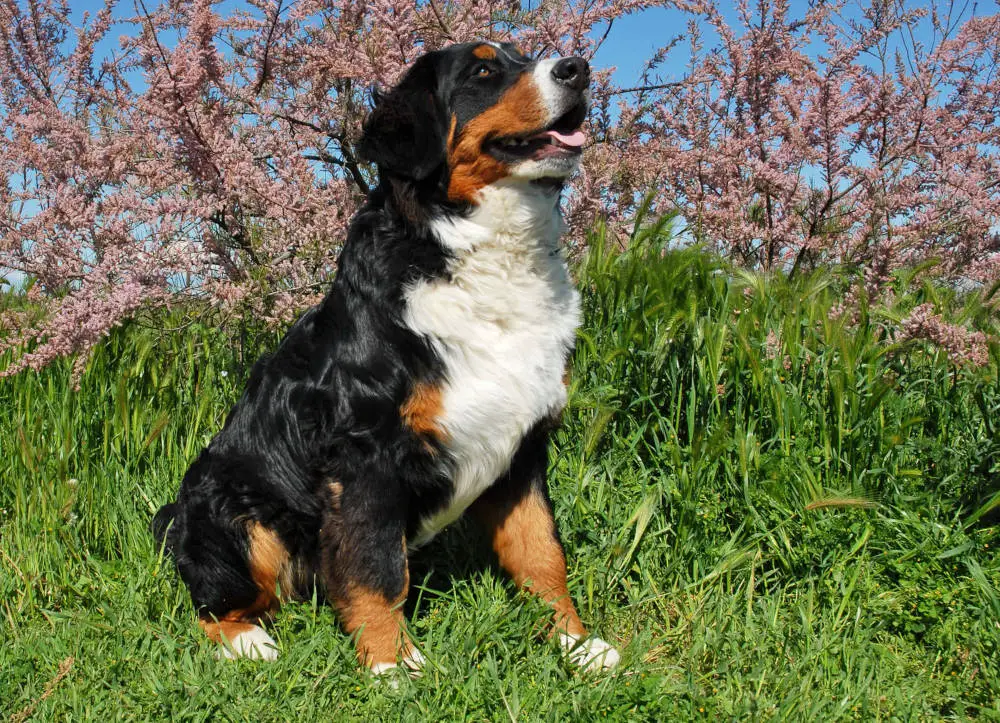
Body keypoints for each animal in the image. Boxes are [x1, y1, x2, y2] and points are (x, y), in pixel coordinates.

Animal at [150, 39, 616, 676]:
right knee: (211, 604)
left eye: (525, 56)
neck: (479, 257)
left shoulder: (523, 447)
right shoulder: (364, 457)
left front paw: (576, 645)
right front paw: (392, 665)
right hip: (236, 514)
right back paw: (249, 642)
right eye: (484, 70)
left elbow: (542, 552)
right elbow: (376, 570)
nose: (578, 68)